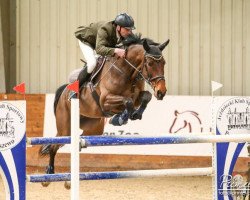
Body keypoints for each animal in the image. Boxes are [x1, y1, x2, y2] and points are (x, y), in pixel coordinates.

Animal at [39, 34, 170, 184]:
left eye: (164, 63)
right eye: (149, 64)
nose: (161, 92)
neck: (126, 71)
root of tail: (64, 91)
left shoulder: (137, 97)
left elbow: (145, 97)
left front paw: (133, 115)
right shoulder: (105, 101)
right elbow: (128, 101)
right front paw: (120, 118)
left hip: (93, 128)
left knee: (78, 138)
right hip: (65, 127)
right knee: (54, 145)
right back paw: (49, 173)